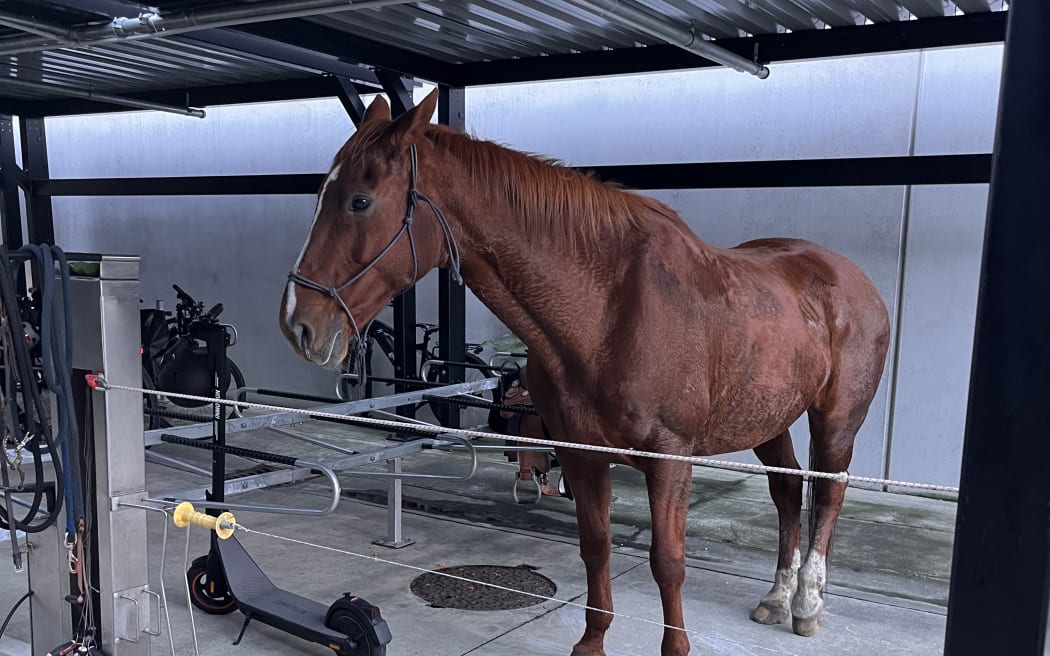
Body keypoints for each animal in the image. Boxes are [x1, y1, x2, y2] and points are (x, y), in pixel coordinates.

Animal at [280, 90, 890, 656]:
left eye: (360, 200)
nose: (297, 324)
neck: (608, 313)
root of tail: (853, 278)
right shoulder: (580, 453)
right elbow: (595, 547)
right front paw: (591, 642)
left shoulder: (670, 460)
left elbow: (668, 562)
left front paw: (675, 648)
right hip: (769, 419)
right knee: (787, 492)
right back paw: (777, 597)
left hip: (834, 420)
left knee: (828, 493)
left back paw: (807, 602)